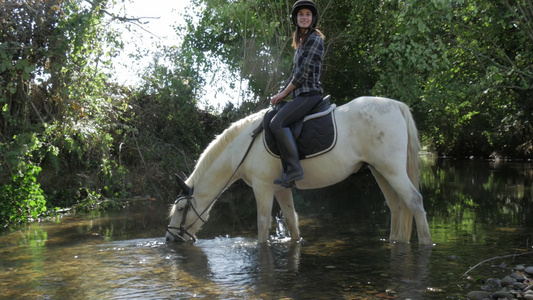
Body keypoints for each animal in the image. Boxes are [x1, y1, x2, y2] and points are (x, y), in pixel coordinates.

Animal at [164, 97, 430, 245]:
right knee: (396, 206)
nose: (168, 238)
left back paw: (426, 243)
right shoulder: (280, 189)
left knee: (415, 201)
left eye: (181, 209)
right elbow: (292, 222)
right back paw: (396, 241)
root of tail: (395, 105)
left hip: (391, 169)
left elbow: (263, 225)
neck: (242, 147)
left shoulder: (262, 186)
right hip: (379, 170)